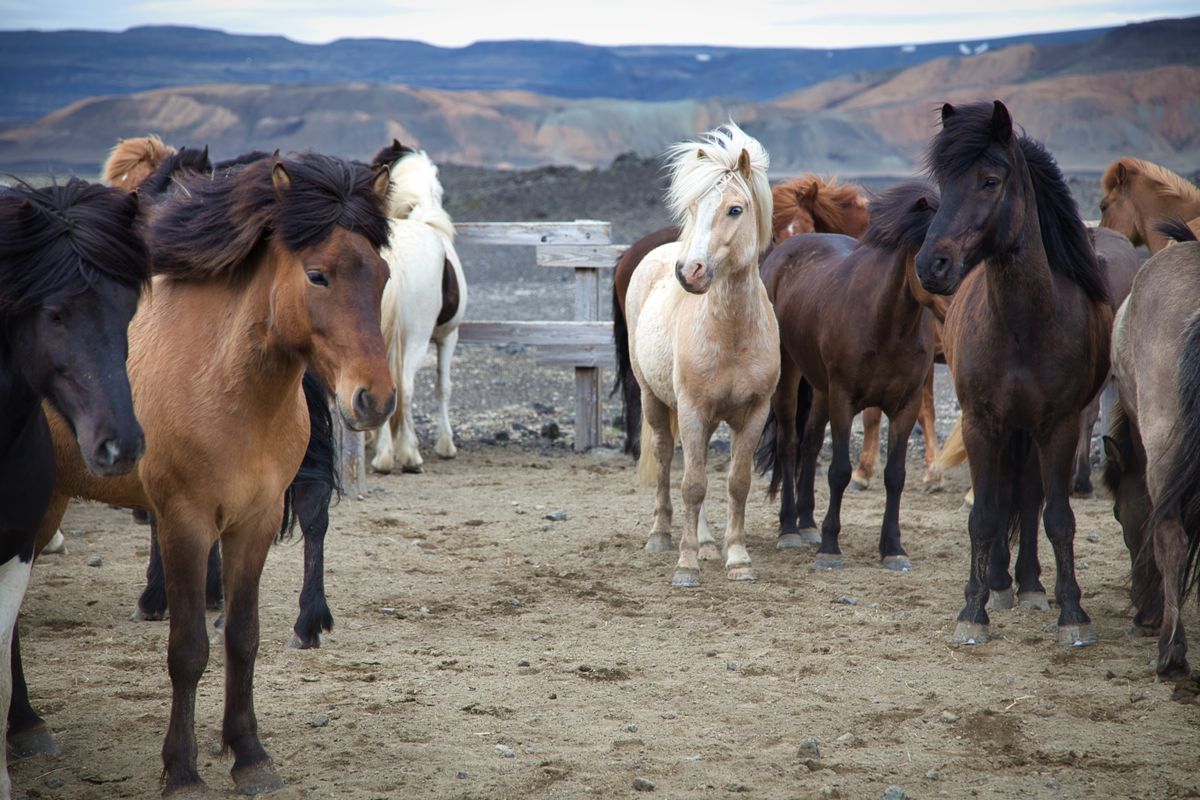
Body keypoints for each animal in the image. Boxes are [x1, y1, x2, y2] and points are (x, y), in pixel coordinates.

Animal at [23, 153, 395, 796]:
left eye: (383, 276)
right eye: (318, 276)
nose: (375, 399)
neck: (226, 384)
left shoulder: (256, 521)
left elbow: (242, 638)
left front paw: (249, 754)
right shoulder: (185, 523)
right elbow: (189, 648)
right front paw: (182, 769)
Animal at [367, 139, 467, 474]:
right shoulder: (449, 336)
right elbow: (443, 387)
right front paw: (446, 445)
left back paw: (384, 456)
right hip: (418, 340)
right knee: (405, 389)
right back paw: (408, 457)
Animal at [626, 122, 778, 587]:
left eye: (735, 209)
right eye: (693, 208)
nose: (688, 272)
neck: (732, 335)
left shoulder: (754, 413)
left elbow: (737, 483)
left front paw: (738, 558)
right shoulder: (692, 410)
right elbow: (691, 484)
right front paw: (686, 564)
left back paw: (710, 542)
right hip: (654, 401)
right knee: (664, 460)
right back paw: (662, 535)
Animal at [754, 182, 939, 568]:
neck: (887, 323)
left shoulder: (906, 405)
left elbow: (895, 476)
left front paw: (893, 548)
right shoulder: (843, 399)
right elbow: (839, 471)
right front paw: (829, 547)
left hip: (820, 389)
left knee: (809, 445)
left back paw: (807, 523)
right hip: (790, 378)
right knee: (789, 445)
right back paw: (790, 528)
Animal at [915, 100, 1112, 647]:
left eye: (989, 180)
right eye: (944, 180)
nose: (931, 264)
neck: (1023, 324)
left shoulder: (1059, 425)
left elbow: (1057, 517)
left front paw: (1073, 612)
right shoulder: (981, 422)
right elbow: (984, 515)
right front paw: (973, 609)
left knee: (1027, 494)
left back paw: (1028, 584)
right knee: (1006, 495)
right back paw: (1001, 583)